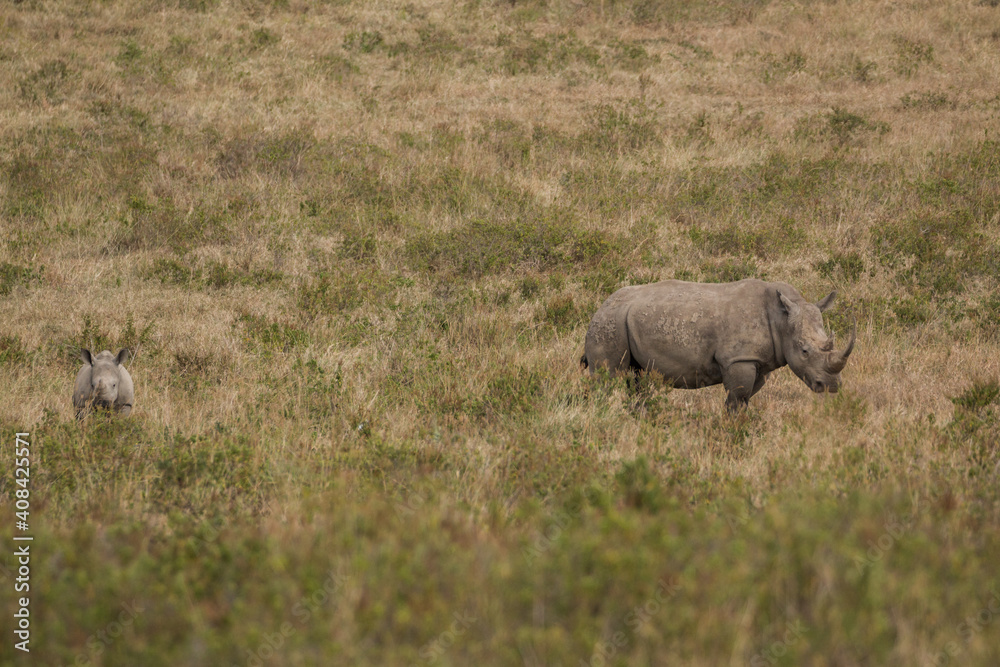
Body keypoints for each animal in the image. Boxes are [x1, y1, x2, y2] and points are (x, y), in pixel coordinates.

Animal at [581, 279, 855, 411]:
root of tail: (602, 304)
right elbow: (738, 397)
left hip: (622, 318)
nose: (831, 386)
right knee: (608, 378)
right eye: (804, 351)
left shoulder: (757, 361)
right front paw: (732, 432)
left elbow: (744, 399)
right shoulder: (739, 358)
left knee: (636, 379)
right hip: (610, 321)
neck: (781, 318)